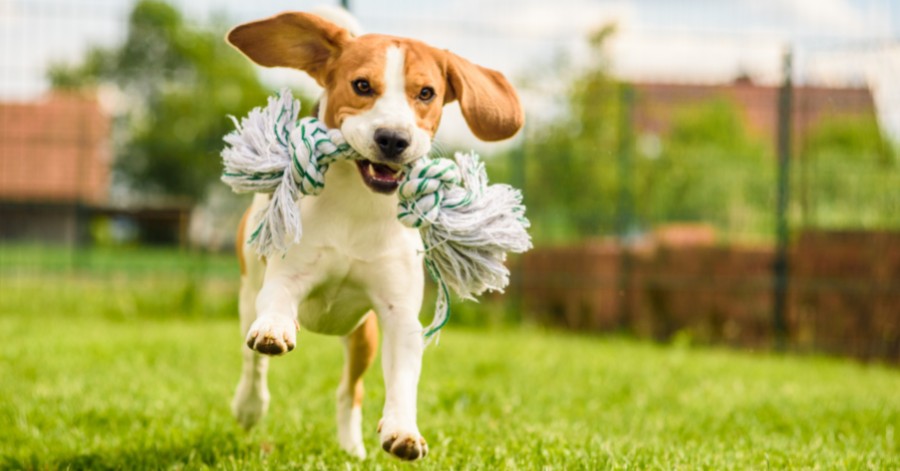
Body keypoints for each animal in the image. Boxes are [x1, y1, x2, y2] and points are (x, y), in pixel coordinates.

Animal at [225, 10, 524, 460]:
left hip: (361, 335)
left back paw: (351, 448)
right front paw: (275, 330)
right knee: (253, 364)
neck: (358, 208)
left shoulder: (399, 314)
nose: (394, 139)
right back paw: (249, 404)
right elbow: (275, 308)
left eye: (426, 93)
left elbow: (402, 378)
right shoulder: (286, 278)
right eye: (362, 85)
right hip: (248, 293)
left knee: (350, 391)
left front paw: (403, 430)